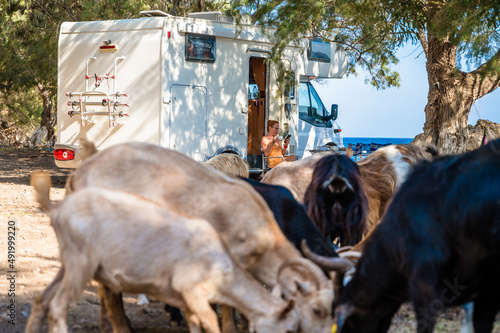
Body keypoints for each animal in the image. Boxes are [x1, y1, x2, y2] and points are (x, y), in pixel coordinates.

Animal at [27, 174, 298, 332]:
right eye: (291, 328)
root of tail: (58, 208)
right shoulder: (193, 291)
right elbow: (212, 322)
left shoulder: (189, 301)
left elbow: (196, 324)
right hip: (80, 265)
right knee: (58, 306)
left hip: (68, 265)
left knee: (42, 300)